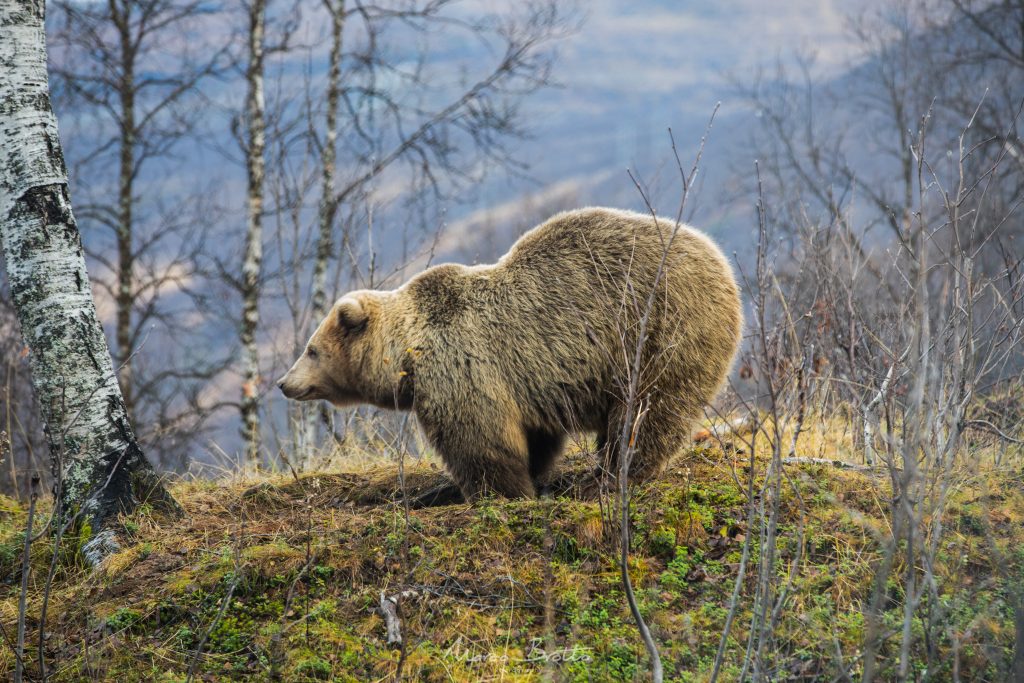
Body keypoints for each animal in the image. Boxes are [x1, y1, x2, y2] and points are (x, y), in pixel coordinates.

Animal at [277, 207, 743, 501]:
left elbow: (481, 441)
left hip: (660, 333)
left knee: (644, 412)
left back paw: (608, 478)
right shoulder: (525, 384)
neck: (408, 354)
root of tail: (720, 260)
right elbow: (534, 438)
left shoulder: (461, 366)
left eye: (311, 349)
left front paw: (494, 491)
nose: (284, 383)